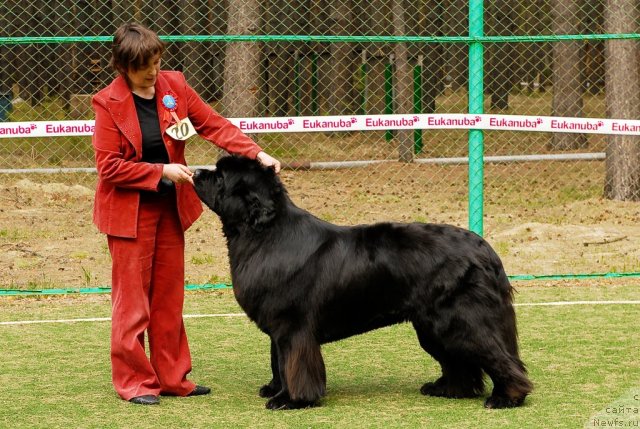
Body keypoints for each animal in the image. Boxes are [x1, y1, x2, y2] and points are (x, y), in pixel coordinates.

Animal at [192, 155, 532, 410]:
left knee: (495, 354)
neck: (263, 233)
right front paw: (274, 388)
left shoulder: (292, 327)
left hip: (459, 318)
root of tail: (485, 249)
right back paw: (447, 389)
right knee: (459, 360)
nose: (195, 171)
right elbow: (277, 360)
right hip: (432, 325)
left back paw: (506, 397)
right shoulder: (279, 328)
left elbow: (292, 363)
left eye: (221, 177)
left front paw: (290, 400)